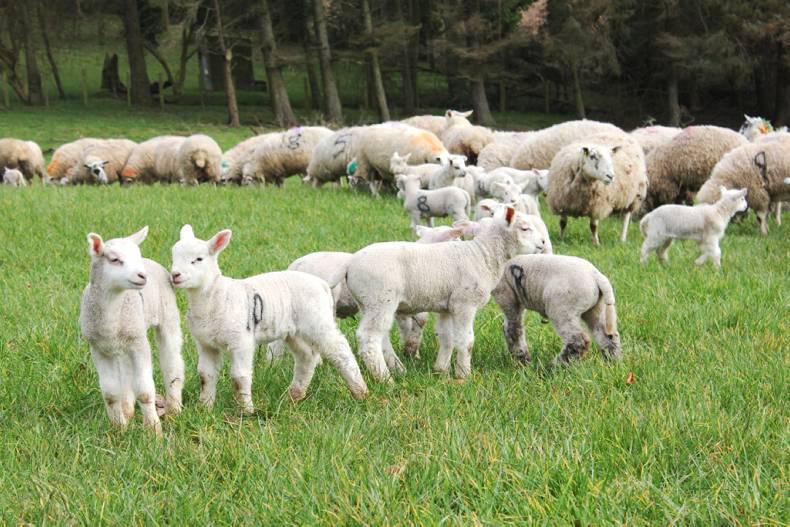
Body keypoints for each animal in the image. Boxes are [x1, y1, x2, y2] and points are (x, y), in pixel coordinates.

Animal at [79, 226, 184, 435]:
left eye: (137, 255)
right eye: (114, 259)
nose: (142, 276)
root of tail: (150, 262)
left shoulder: (139, 344)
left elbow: (145, 392)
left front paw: (154, 430)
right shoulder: (98, 349)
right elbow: (111, 394)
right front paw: (118, 429)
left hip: (166, 316)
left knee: (172, 362)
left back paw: (174, 408)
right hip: (124, 341)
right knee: (126, 371)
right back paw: (127, 411)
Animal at [170, 225, 368, 409]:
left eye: (198, 259)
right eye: (173, 257)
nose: (174, 275)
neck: (214, 295)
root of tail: (322, 284)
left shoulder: (241, 340)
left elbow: (239, 376)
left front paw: (246, 409)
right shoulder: (205, 343)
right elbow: (205, 375)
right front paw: (205, 407)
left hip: (318, 321)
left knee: (340, 351)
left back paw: (360, 392)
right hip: (293, 331)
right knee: (306, 357)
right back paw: (293, 396)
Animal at [345, 207, 548, 381]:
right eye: (524, 228)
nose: (543, 243)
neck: (482, 256)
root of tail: (349, 266)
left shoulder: (447, 308)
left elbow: (447, 338)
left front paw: (440, 370)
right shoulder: (464, 303)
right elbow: (466, 341)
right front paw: (463, 374)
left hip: (367, 304)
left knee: (381, 337)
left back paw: (398, 369)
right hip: (380, 299)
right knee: (369, 337)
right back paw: (385, 379)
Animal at [492, 254, 620, 367]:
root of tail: (597, 276)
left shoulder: (507, 296)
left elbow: (513, 329)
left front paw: (521, 361)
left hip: (562, 309)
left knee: (579, 341)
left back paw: (553, 367)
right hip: (596, 309)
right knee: (608, 337)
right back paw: (611, 363)